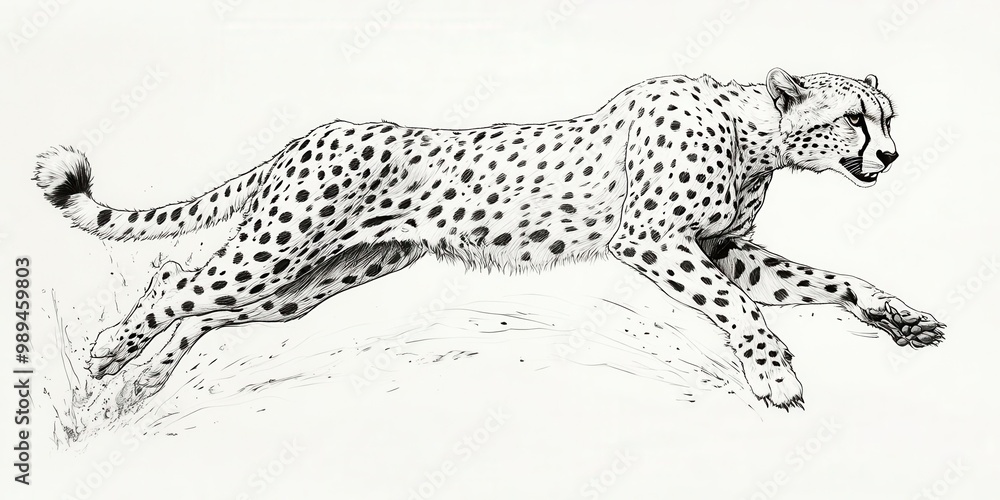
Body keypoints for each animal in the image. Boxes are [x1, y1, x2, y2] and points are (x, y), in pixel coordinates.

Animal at [34, 67, 944, 410]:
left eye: (889, 118)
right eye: (855, 119)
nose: (893, 158)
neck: (754, 135)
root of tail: (310, 133)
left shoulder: (725, 248)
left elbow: (828, 282)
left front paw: (901, 318)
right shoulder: (654, 241)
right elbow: (742, 312)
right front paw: (775, 377)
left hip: (312, 281)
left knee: (203, 308)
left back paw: (135, 384)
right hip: (277, 250)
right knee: (174, 279)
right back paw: (110, 357)